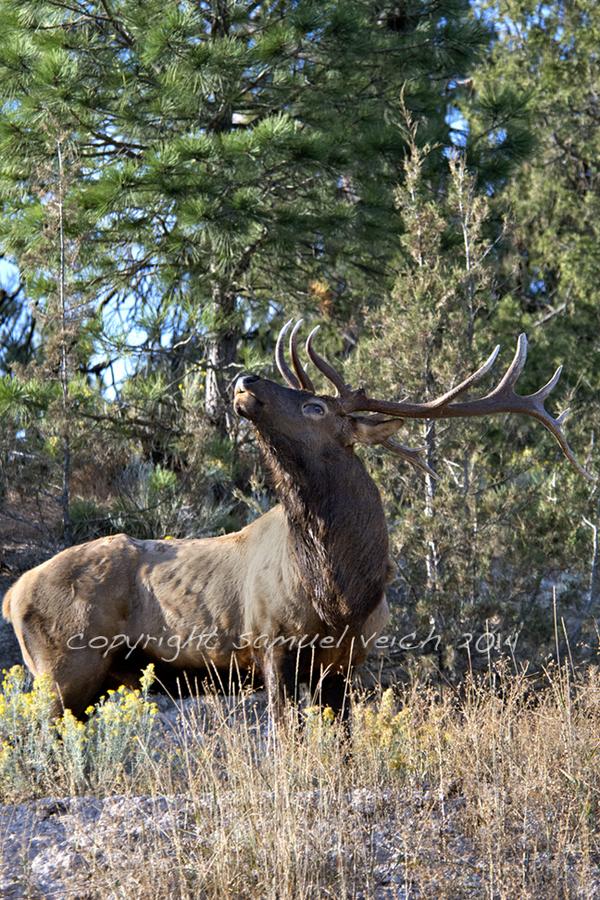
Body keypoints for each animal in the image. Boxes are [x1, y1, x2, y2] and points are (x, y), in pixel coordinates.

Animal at [2, 321, 589, 719]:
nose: (244, 378)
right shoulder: (271, 641)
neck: (342, 593)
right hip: (62, 668)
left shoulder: (345, 660)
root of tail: (14, 593)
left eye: (315, 407)